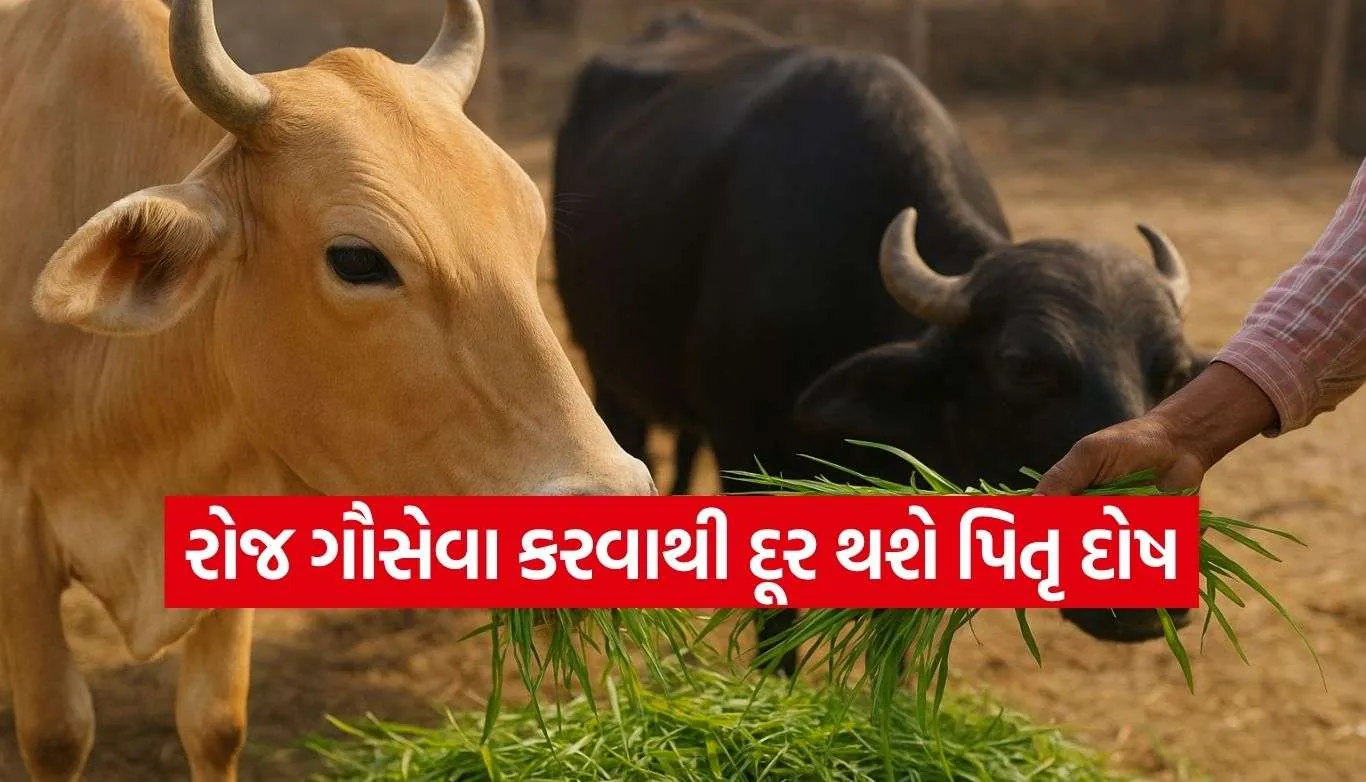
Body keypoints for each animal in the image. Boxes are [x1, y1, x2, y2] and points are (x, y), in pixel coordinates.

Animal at [0, 0, 656, 779]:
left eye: (530, 226)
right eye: (356, 259)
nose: (611, 512)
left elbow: (214, 721)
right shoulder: (17, 529)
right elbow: (57, 732)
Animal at [552, 10, 1208, 676]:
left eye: (1174, 374)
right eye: (1023, 365)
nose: (1146, 607)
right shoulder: (747, 455)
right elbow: (775, 628)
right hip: (605, 370)